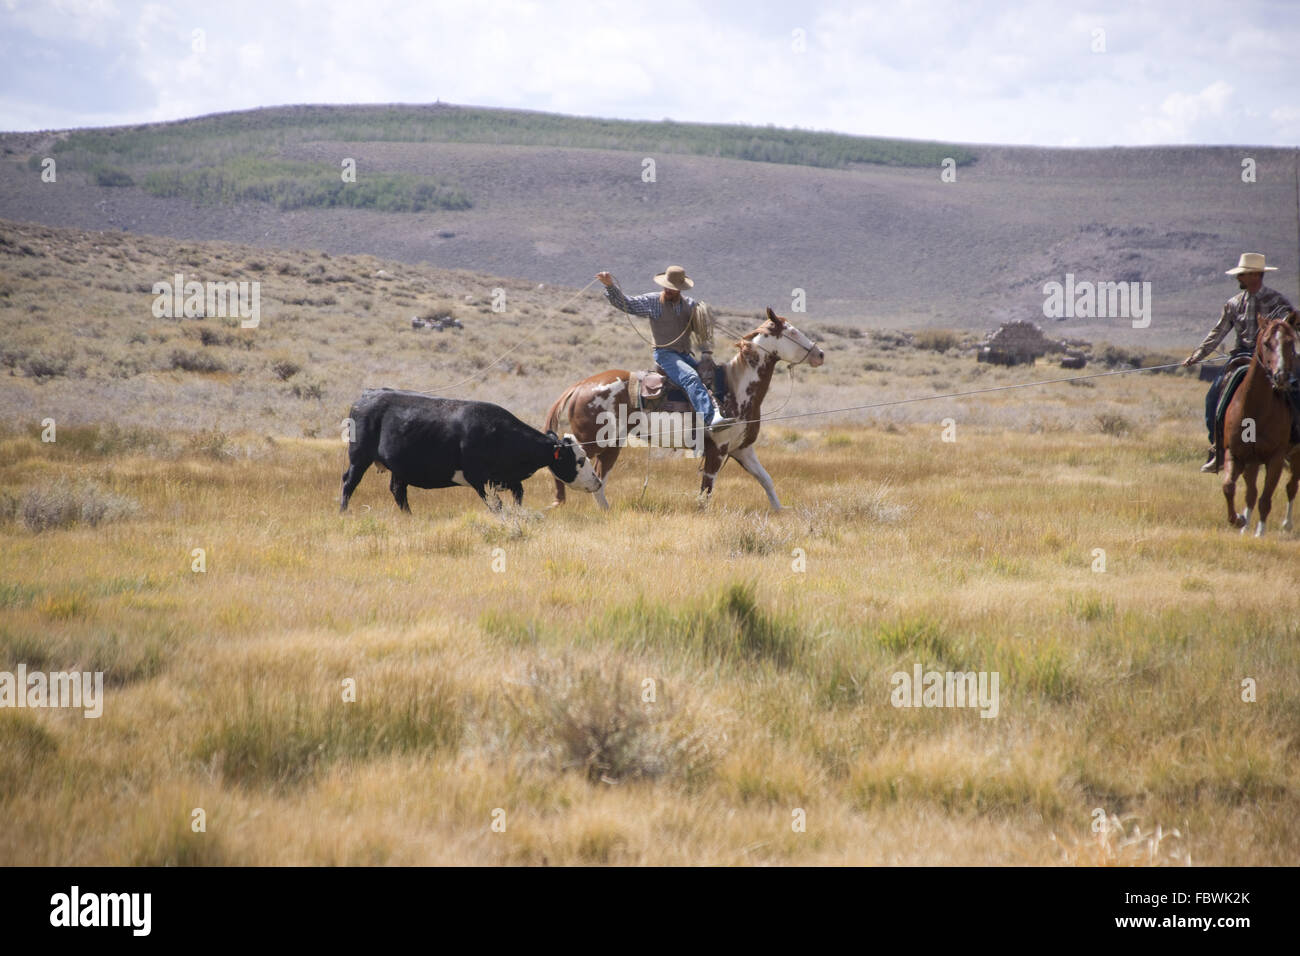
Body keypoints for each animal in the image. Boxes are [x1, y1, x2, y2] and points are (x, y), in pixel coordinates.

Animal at [335, 387, 598, 512]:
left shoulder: (508, 479)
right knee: (350, 482)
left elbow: (519, 497)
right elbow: (496, 505)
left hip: (399, 467)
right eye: (580, 460)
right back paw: (343, 511)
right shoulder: (478, 478)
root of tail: (368, 394)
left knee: (398, 491)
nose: (597, 482)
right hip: (359, 456)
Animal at [543, 310, 826, 512]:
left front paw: (781, 510)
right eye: (792, 333)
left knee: (599, 480)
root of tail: (580, 386)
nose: (820, 354)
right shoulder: (716, 449)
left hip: (612, 445)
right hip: (595, 440)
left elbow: (766, 479)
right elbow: (707, 488)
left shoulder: (742, 449)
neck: (736, 387)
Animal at [1216, 316, 1300, 535]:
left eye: (1291, 342)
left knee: (1291, 486)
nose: (1281, 376)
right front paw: (1238, 520)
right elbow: (1229, 487)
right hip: (1253, 462)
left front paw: (1259, 533)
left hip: (1295, 455)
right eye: (1267, 342)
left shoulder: (1276, 459)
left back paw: (1287, 524)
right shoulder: (1235, 454)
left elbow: (1265, 498)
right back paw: (1245, 525)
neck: (1255, 410)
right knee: (1251, 493)